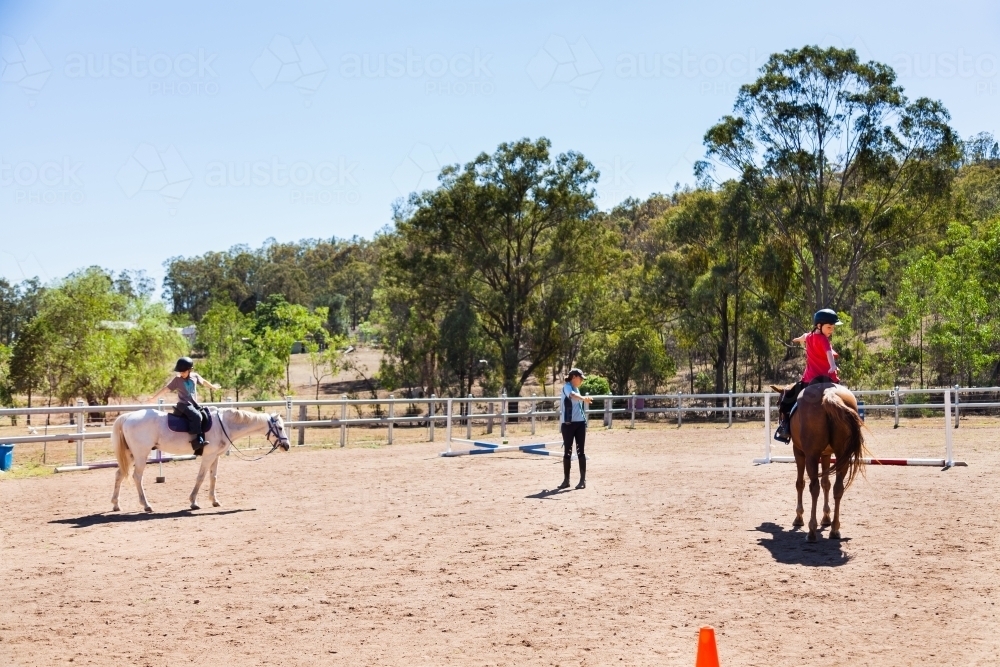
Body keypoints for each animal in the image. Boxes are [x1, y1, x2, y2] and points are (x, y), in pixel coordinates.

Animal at [111, 408, 290, 512]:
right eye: (280, 427)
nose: (287, 446)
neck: (224, 424)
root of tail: (127, 416)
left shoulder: (215, 456)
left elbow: (213, 477)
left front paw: (214, 501)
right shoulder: (208, 456)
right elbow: (201, 477)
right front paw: (193, 502)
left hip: (131, 455)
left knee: (119, 474)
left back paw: (116, 504)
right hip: (141, 455)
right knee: (137, 477)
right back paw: (146, 505)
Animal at [772, 380, 868, 544]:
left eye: (780, 403)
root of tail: (829, 394)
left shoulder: (799, 452)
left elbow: (800, 483)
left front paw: (799, 517)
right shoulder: (826, 454)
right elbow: (826, 484)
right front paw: (826, 518)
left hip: (811, 456)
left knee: (814, 488)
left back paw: (811, 531)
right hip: (842, 456)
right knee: (838, 488)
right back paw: (835, 529)